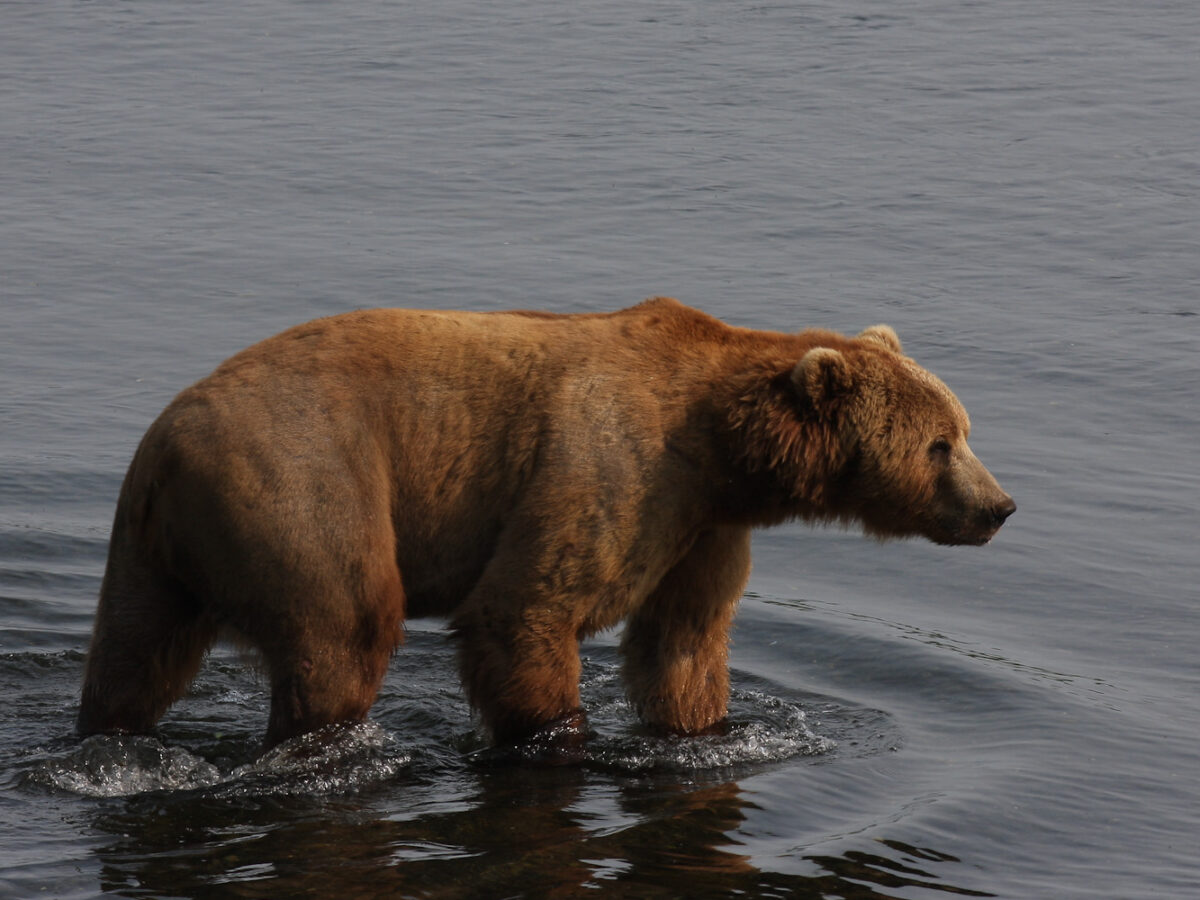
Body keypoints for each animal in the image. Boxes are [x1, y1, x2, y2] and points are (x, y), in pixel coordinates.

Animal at [76, 297, 1014, 750]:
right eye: (939, 444)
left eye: (964, 428)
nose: (999, 507)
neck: (726, 452)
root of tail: (166, 443)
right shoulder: (613, 467)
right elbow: (528, 607)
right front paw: (553, 735)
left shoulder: (702, 529)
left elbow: (682, 644)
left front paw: (701, 727)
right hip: (304, 484)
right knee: (344, 628)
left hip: (155, 545)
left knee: (134, 654)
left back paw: (107, 731)